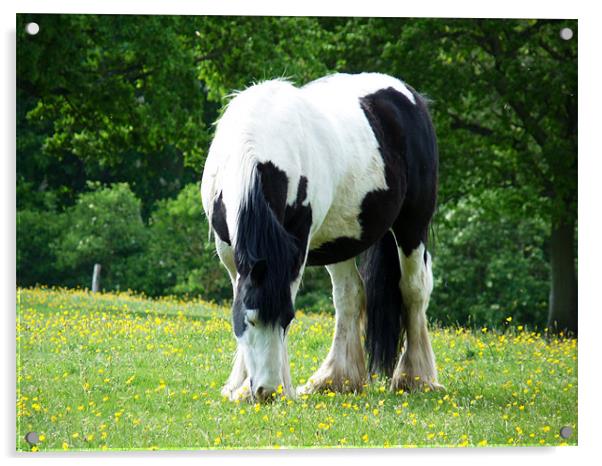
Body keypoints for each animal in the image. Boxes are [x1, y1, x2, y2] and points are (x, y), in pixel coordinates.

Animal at [202, 73, 440, 400]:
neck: (255, 145)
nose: (266, 391)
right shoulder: (228, 252)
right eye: (250, 320)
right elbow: (240, 294)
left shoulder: (296, 246)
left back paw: (415, 378)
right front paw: (237, 385)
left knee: (414, 289)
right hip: (339, 242)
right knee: (350, 295)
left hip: (412, 226)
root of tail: (410, 96)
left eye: (287, 319)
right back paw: (336, 379)